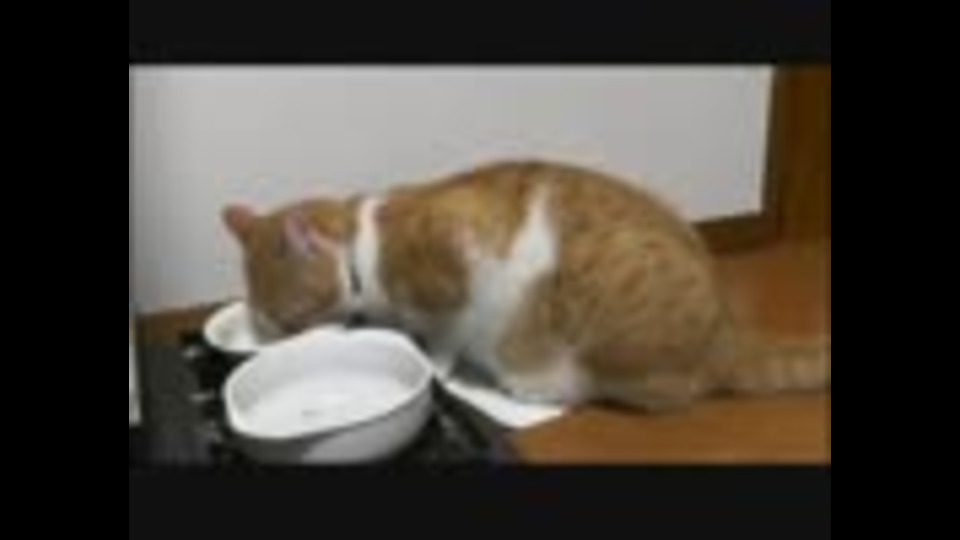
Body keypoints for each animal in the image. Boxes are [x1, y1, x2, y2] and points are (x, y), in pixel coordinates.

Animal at [222, 160, 830, 412]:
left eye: (288, 324)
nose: (277, 343)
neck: (364, 247)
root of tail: (729, 334)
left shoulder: (454, 265)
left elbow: (443, 336)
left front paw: (437, 366)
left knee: (650, 395)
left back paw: (539, 389)